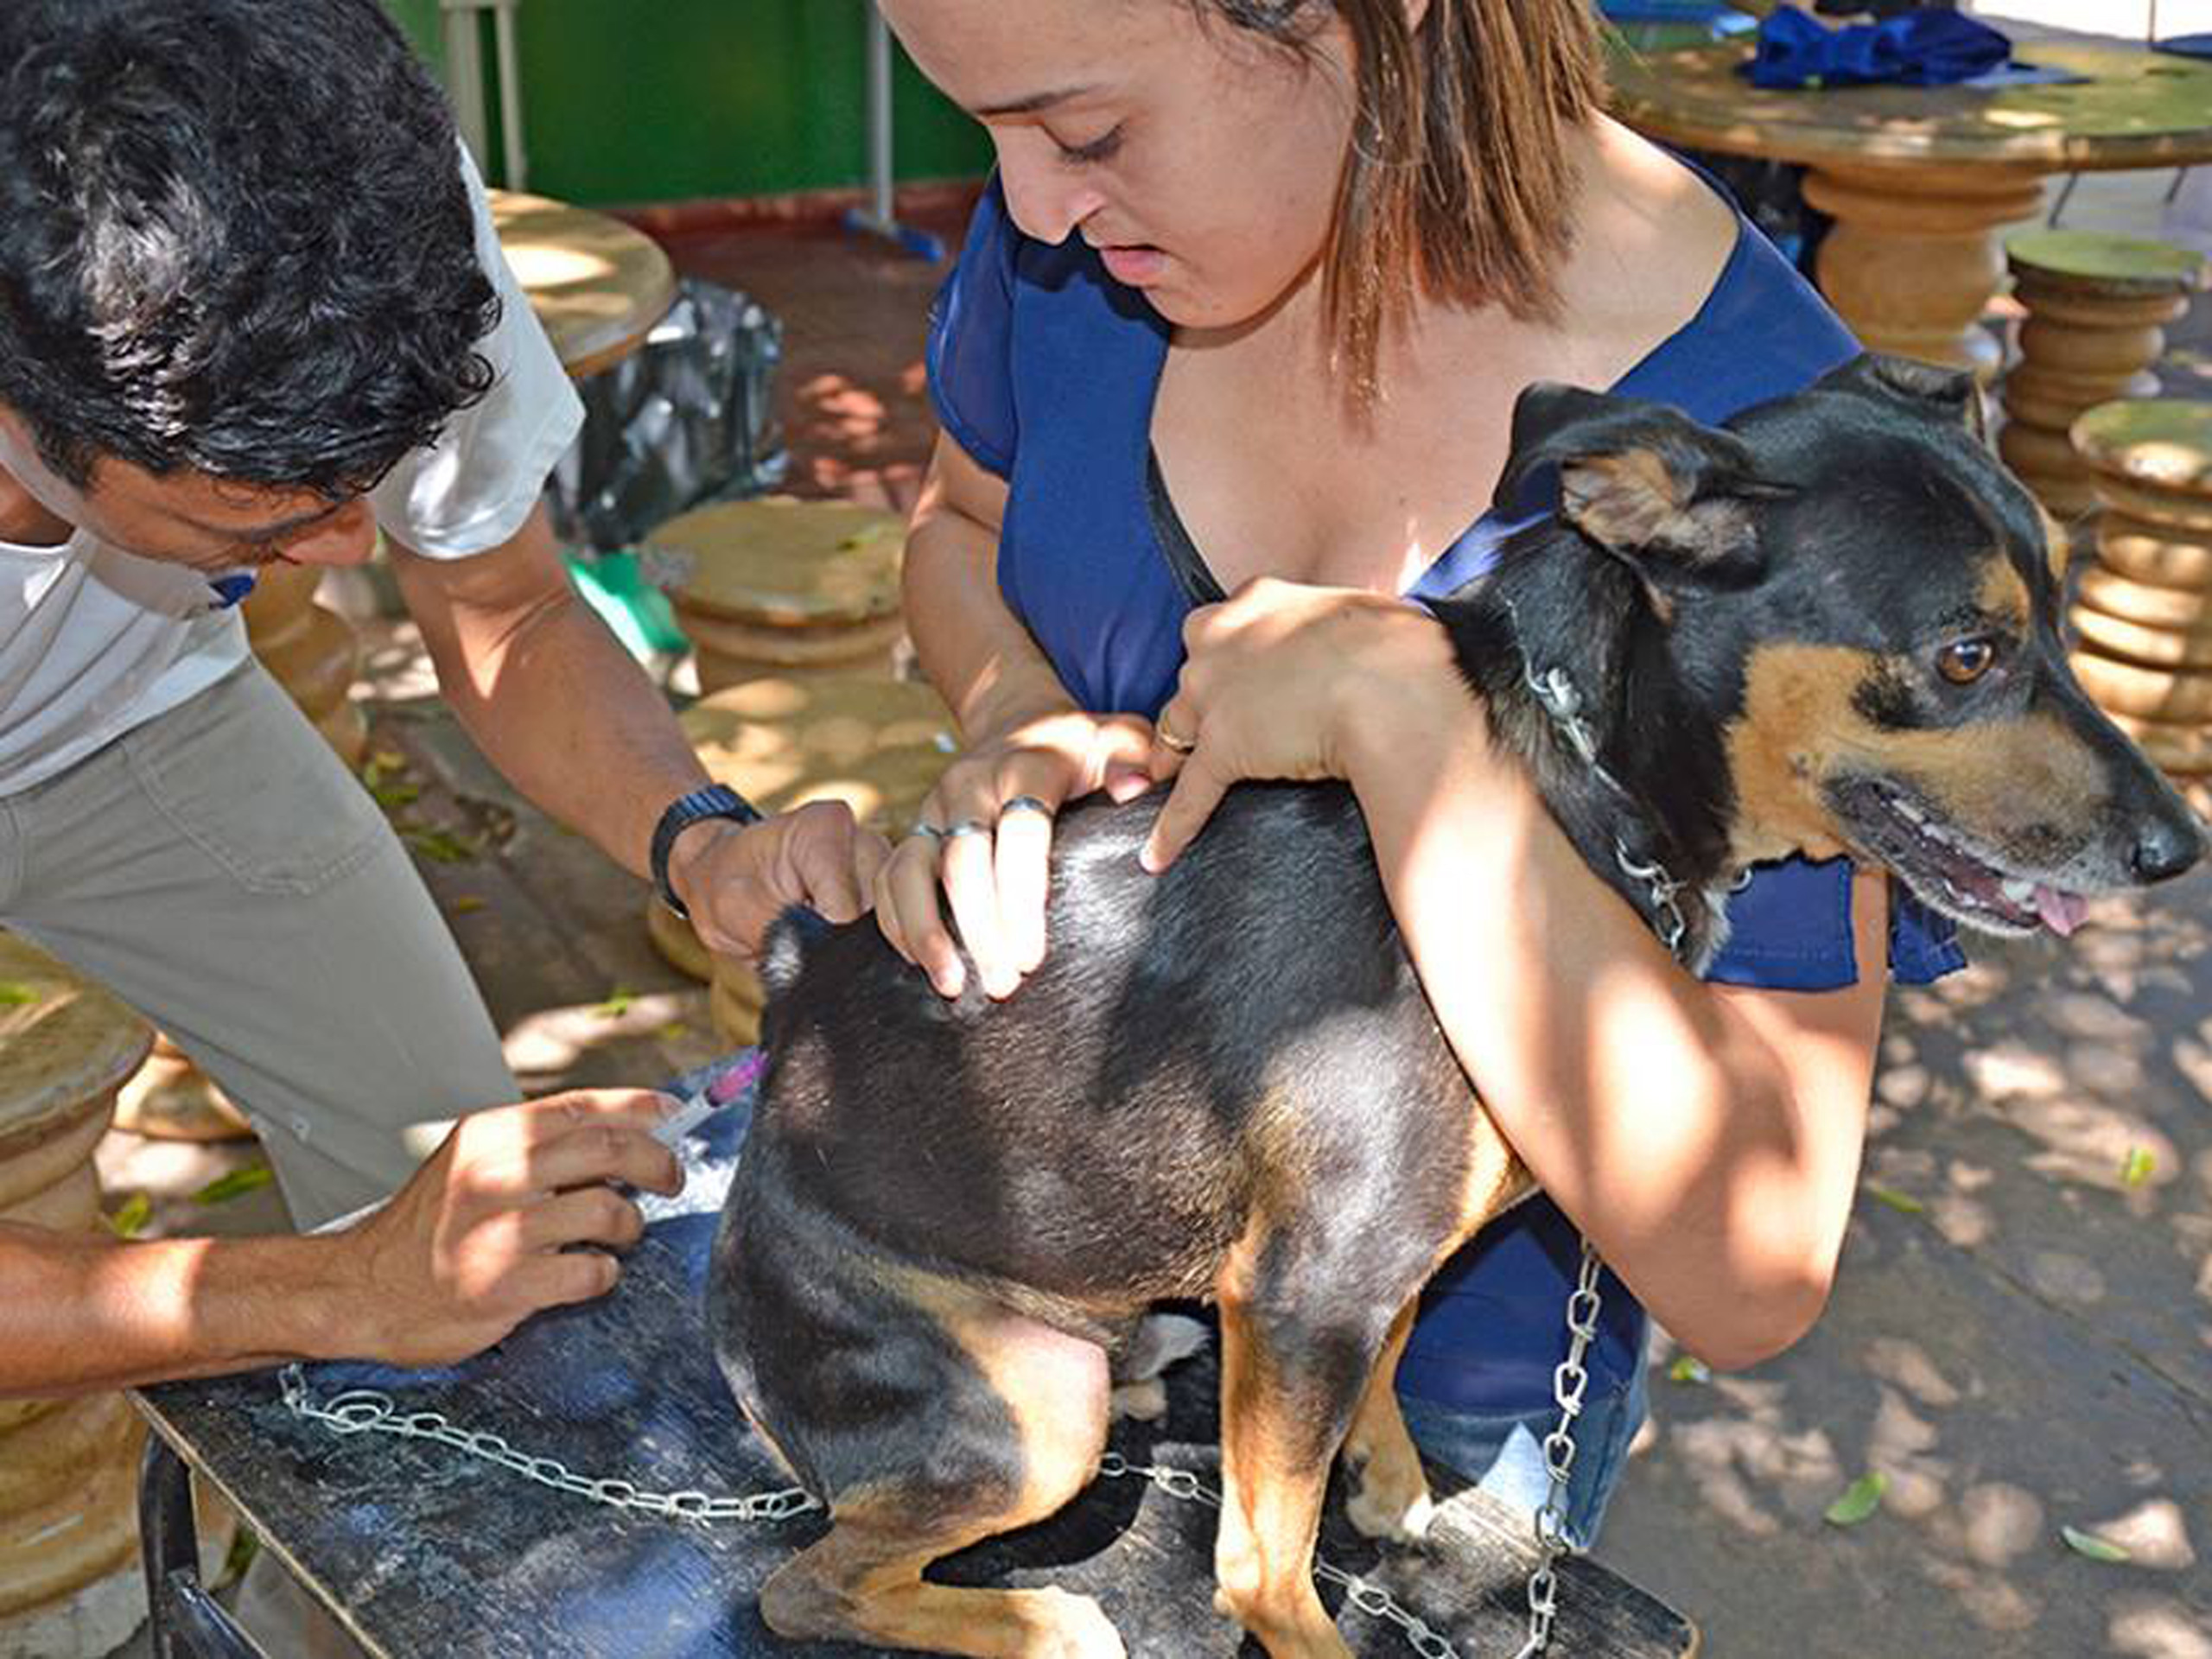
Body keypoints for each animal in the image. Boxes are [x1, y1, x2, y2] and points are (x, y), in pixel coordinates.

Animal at [703, 353, 2194, 1659]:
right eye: (1966, 654)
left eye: (2061, 617)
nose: (2179, 848)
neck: (1563, 802)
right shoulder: (1313, 1287)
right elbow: (1265, 1569)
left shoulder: (1372, 1276)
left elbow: (1391, 1374)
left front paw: (1393, 1484)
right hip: (1029, 1422)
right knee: (806, 1583)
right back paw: (1035, 1619)